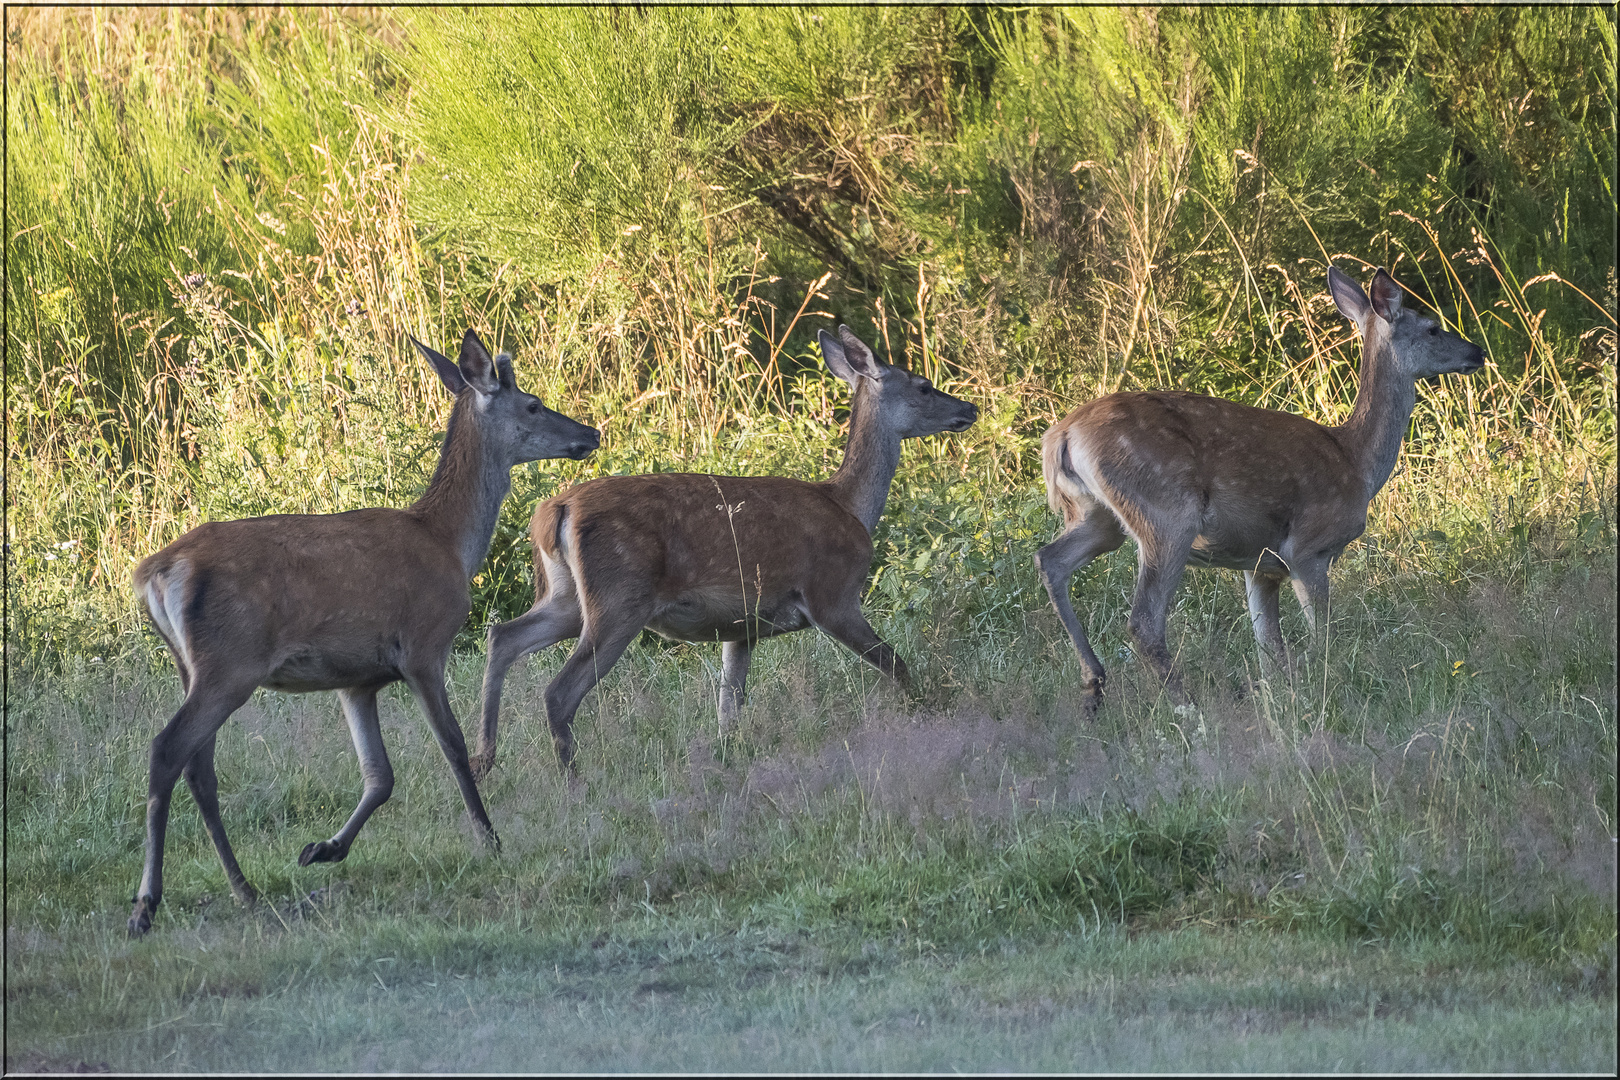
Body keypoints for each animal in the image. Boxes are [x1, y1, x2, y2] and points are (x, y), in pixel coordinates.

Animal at [123, 330, 599, 939]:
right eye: (534, 405)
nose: (591, 433)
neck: (448, 542)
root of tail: (153, 572)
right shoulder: (424, 644)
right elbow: (452, 745)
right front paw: (489, 839)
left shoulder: (357, 679)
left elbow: (380, 776)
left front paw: (323, 848)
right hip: (229, 663)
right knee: (168, 749)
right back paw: (146, 905)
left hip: (195, 666)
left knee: (198, 766)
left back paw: (244, 889)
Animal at [469, 323, 972, 777]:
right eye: (924, 386)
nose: (970, 407)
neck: (849, 504)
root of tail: (555, 510)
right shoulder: (833, 593)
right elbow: (897, 666)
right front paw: (923, 715)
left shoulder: (741, 626)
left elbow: (729, 710)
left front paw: (727, 759)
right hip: (619, 599)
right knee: (558, 691)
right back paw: (573, 780)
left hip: (567, 597)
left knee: (504, 636)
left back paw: (484, 759)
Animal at [1036, 263, 1483, 709]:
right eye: (1432, 328)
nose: (1476, 352)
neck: (1356, 461)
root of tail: (1061, 435)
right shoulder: (1307, 548)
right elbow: (1321, 636)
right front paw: (1326, 687)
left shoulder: (1260, 565)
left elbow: (1270, 648)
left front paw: (1282, 696)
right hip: (1166, 512)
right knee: (1143, 620)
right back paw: (1186, 704)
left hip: (1096, 516)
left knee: (1050, 559)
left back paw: (1093, 684)